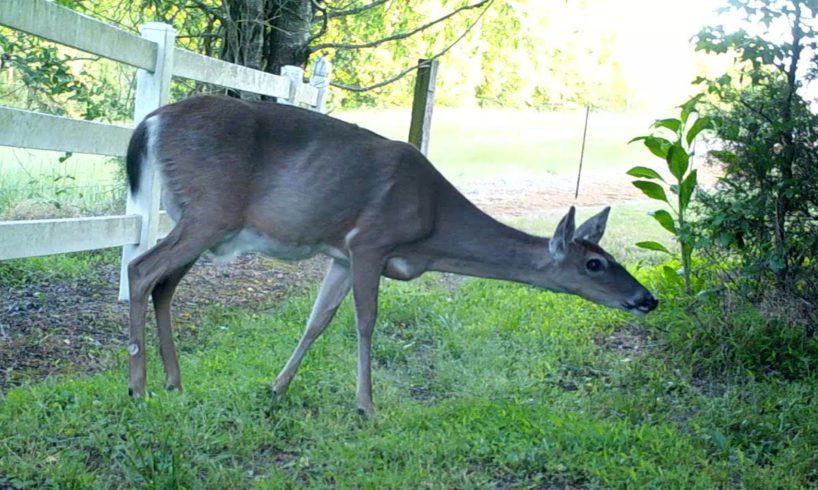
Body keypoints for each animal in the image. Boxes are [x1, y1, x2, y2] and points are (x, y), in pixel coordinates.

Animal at [122, 94, 656, 414]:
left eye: (610, 258)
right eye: (595, 264)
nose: (647, 299)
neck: (433, 228)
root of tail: (151, 120)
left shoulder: (340, 254)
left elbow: (317, 320)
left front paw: (276, 386)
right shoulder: (369, 242)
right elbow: (364, 321)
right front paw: (366, 405)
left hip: (196, 219)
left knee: (163, 284)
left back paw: (174, 383)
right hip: (207, 214)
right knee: (140, 268)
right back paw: (138, 385)